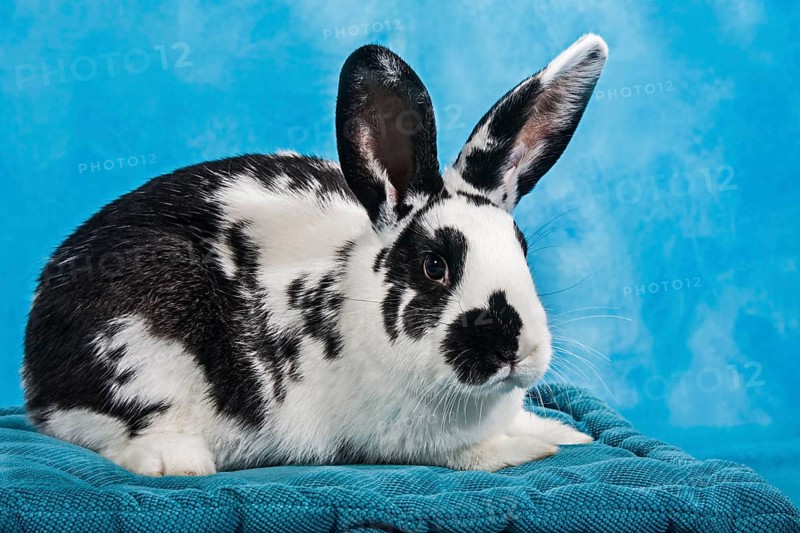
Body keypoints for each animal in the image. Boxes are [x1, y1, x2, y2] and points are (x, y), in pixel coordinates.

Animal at [22, 34, 608, 476]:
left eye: (522, 249)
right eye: (434, 266)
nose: (516, 348)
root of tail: (36, 375)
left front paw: (564, 434)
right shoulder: (401, 440)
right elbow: (466, 453)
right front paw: (528, 447)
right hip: (140, 350)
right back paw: (179, 462)